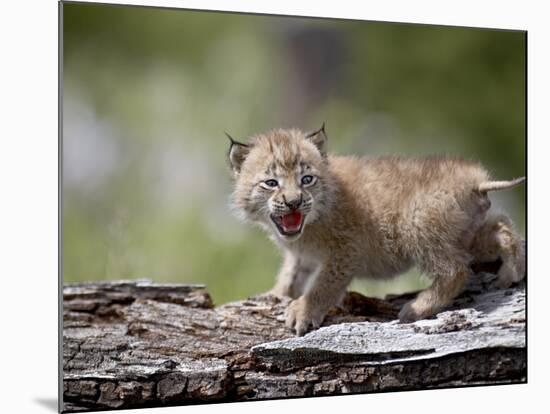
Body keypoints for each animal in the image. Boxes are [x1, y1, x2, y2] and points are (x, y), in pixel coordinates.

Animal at [227, 124, 528, 334]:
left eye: (307, 179)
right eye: (271, 183)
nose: (294, 202)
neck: (310, 223)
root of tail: (475, 180)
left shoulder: (345, 250)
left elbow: (324, 283)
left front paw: (304, 310)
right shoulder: (303, 254)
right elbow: (291, 274)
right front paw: (275, 294)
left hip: (417, 226)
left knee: (456, 269)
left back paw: (416, 308)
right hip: (465, 232)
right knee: (502, 226)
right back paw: (511, 272)